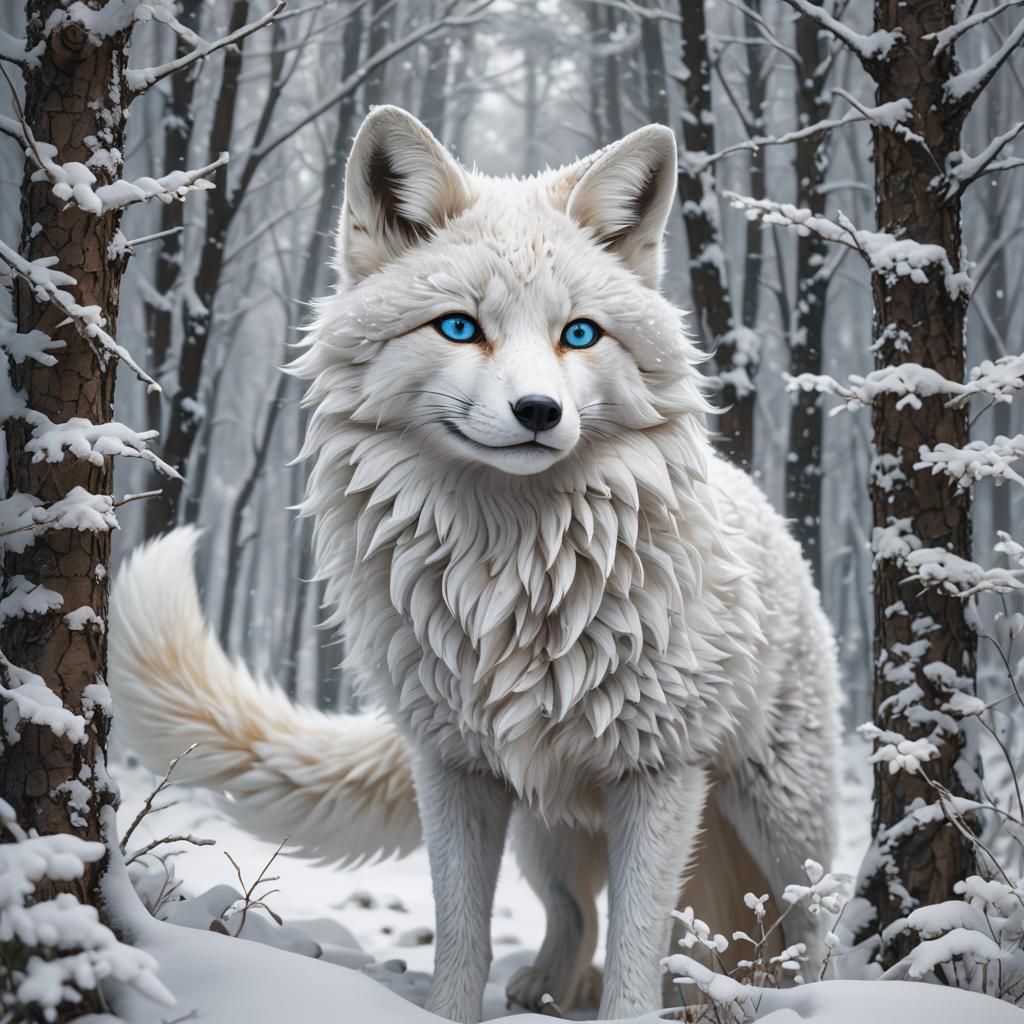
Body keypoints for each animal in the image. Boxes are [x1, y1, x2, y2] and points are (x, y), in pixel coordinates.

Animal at [109, 106, 840, 1023]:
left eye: (579, 335)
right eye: (460, 326)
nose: (539, 411)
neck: (514, 576)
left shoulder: (660, 773)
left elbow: (639, 943)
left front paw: (634, 1008)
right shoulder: (453, 769)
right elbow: (461, 931)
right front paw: (452, 1010)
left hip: (779, 813)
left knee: (809, 919)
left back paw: (812, 996)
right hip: (547, 828)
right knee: (574, 914)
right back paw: (548, 990)